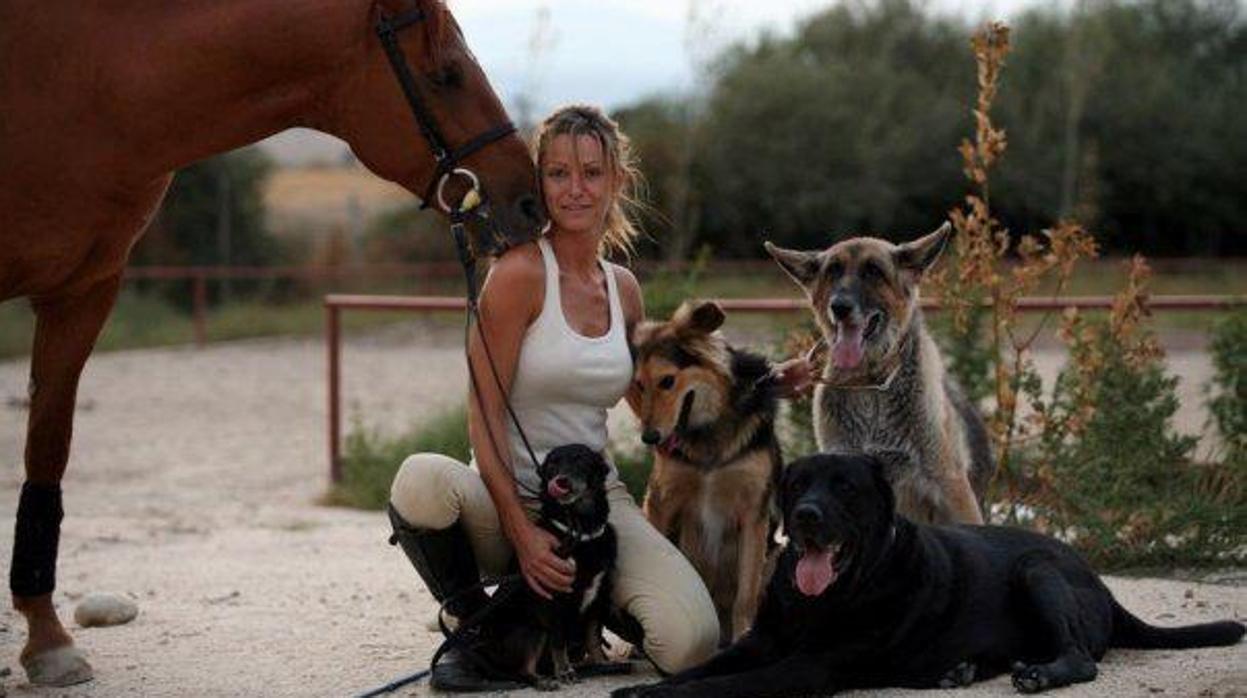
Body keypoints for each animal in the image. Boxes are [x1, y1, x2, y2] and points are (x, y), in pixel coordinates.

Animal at [1, 0, 546, 688]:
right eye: (446, 74)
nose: (530, 202)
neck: (80, 80)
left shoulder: (84, 292)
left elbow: (47, 450)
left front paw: (47, 641)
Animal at [471, 443, 618, 688]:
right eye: (551, 466)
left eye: (581, 460)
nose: (561, 481)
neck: (581, 531)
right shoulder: (554, 600)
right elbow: (559, 640)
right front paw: (565, 671)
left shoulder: (599, 596)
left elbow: (593, 636)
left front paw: (601, 663)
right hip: (533, 629)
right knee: (522, 671)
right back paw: (545, 681)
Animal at [616, 448, 1247, 693]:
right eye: (798, 484)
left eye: (844, 488)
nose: (806, 516)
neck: (828, 597)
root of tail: (1099, 580)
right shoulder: (761, 640)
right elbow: (707, 667)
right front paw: (650, 687)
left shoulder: (808, 665)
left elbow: (724, 684)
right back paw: (959, 670)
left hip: (1037, 570)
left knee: (1082, 658)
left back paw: (1038, 674)